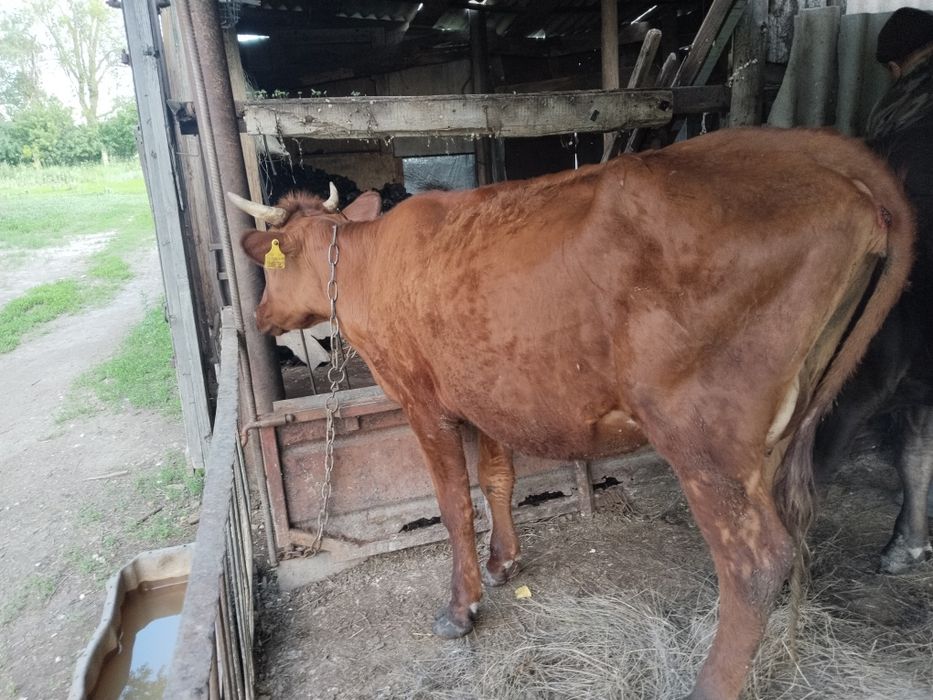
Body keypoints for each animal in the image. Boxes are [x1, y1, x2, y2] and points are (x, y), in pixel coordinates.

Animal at [229, 127, 914, 700]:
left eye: (270, 267)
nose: (259, 317)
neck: (366, 265)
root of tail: (807, 151)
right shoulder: (483, 395)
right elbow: (496, 481)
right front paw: (504, 563)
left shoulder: (423, 403)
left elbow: (453, 505)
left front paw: (461, 607)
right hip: (779, 430)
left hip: (703, 435)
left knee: (756, 561)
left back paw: (709, 683)